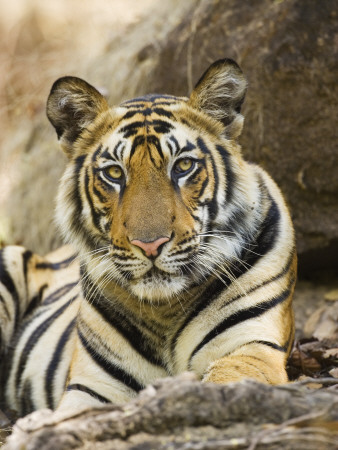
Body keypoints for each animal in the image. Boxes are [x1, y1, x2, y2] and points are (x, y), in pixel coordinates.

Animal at [0, 58, 296, 416]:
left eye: (182, 166)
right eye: (114, 173)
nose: (150, 245)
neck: (164, 309)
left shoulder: (249, 349)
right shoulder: (94, 387)